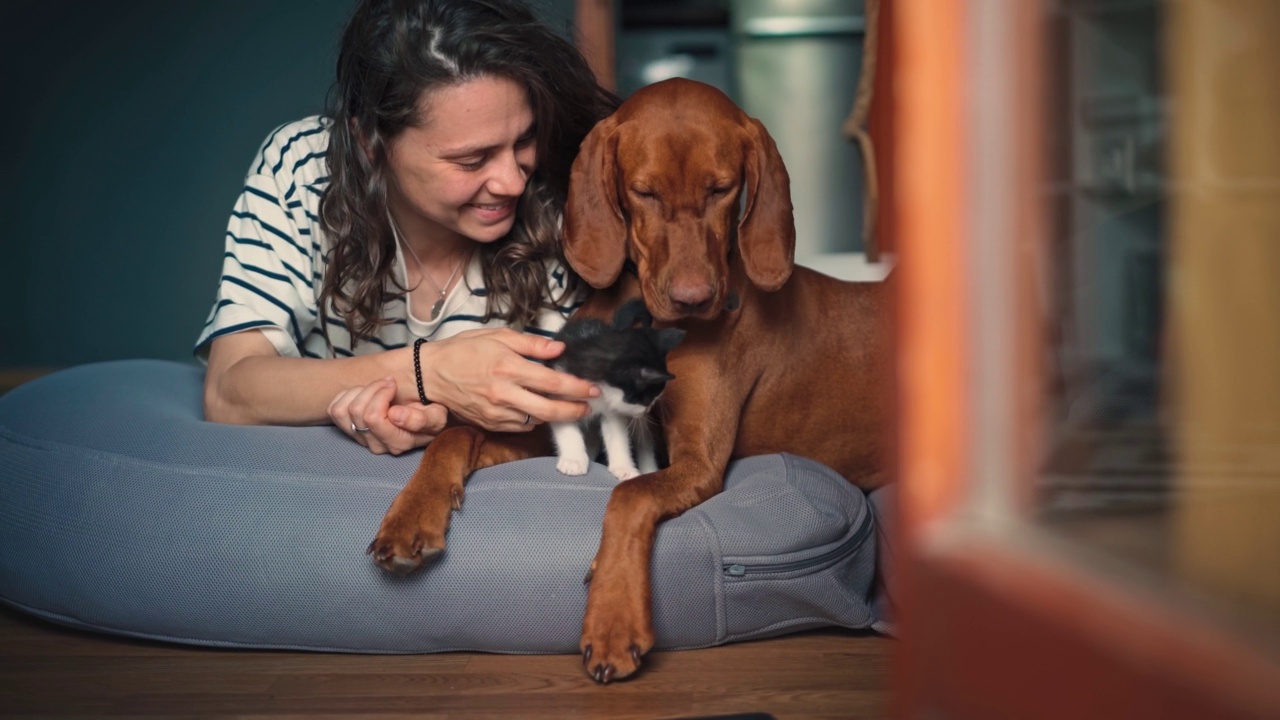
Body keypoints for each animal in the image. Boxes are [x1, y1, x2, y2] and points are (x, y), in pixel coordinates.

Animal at [552, 299, 691, 479]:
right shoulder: (560, 390)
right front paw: (573, 460)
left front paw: (624, 467)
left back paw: (648, 470)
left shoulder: (613, 412)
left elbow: (617, 436)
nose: (647, 411)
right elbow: (567, 430)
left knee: (644, 440)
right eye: (647, 401)